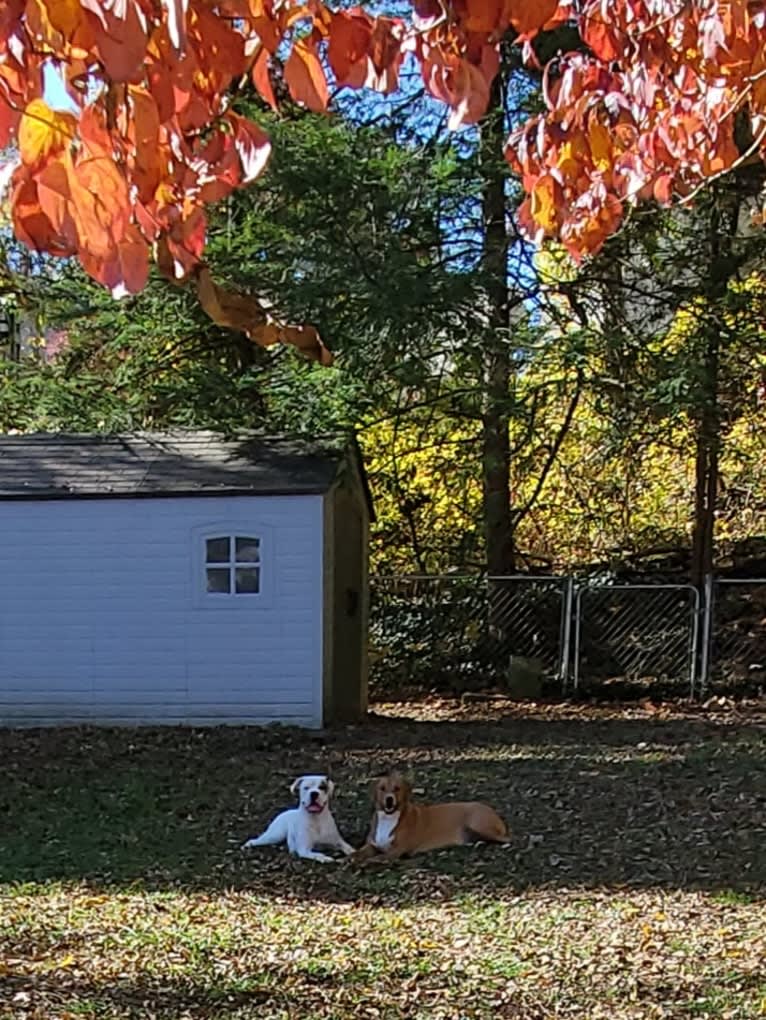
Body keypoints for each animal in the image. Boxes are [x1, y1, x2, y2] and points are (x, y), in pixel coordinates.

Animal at [356, 771, 512, 860]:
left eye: (397, 788)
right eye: (382, 788)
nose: (389, 799)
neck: (388, 818)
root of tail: (491, 810)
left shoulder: (397, 850)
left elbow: (377, 859)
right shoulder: (372, 845)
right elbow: (357, 854)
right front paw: (353, 859)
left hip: (477, 824)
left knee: (506, 839)